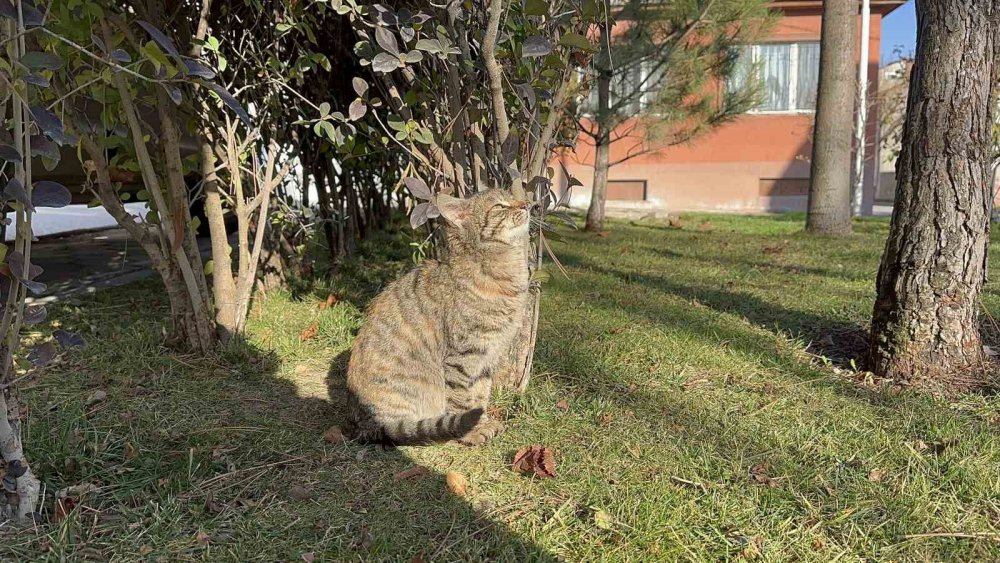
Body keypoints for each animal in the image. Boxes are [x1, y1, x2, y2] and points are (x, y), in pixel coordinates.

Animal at [344, 189, 532, 446]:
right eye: (500, 205)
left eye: (513, 196)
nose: (527, 204)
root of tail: (362, 425)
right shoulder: (462, 357)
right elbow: (463, 400)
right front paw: (470, 432)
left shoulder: (487, 357)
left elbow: (480, 395)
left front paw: (482, 422)